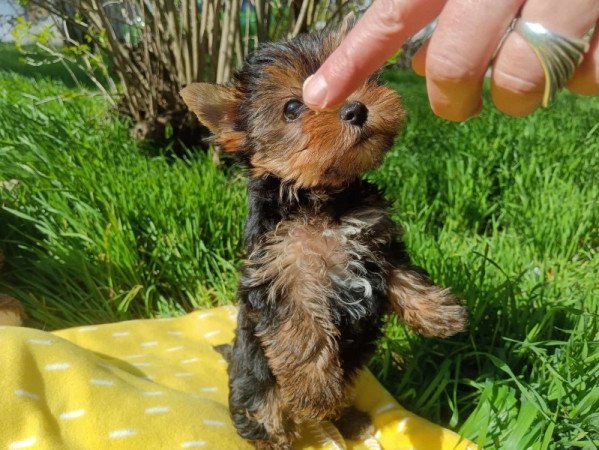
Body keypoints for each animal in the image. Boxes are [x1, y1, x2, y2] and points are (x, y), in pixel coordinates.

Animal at [183, 19, 468, 448]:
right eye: (291, 108)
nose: (355, 107)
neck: (322, 201)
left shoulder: (375, 241)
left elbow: (404, 274)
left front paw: (438, 313)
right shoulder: (284, 272)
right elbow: (303, 332)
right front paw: (315, 390)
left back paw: (348, 420)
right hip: (255, 380)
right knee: (263, 411)